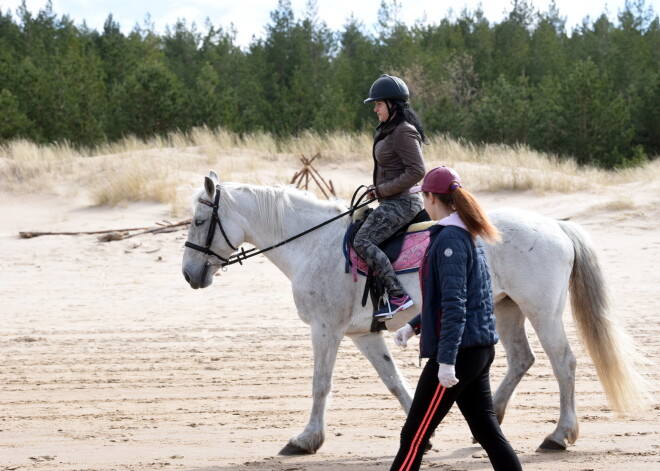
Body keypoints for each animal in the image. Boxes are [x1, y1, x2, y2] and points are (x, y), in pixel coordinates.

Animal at [182, 174, 648, 458]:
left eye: (201, 219)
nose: (188, 275)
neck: (312, 243)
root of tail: (556, 224)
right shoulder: (363, 335)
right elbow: (394, 382)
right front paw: (421, 434)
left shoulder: (326, 329)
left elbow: (320, 385)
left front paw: (305, 440)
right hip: (506, 308)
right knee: (522, 359)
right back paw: (494, 418)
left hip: (540, 310)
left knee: (562, 362)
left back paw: (559, 435)